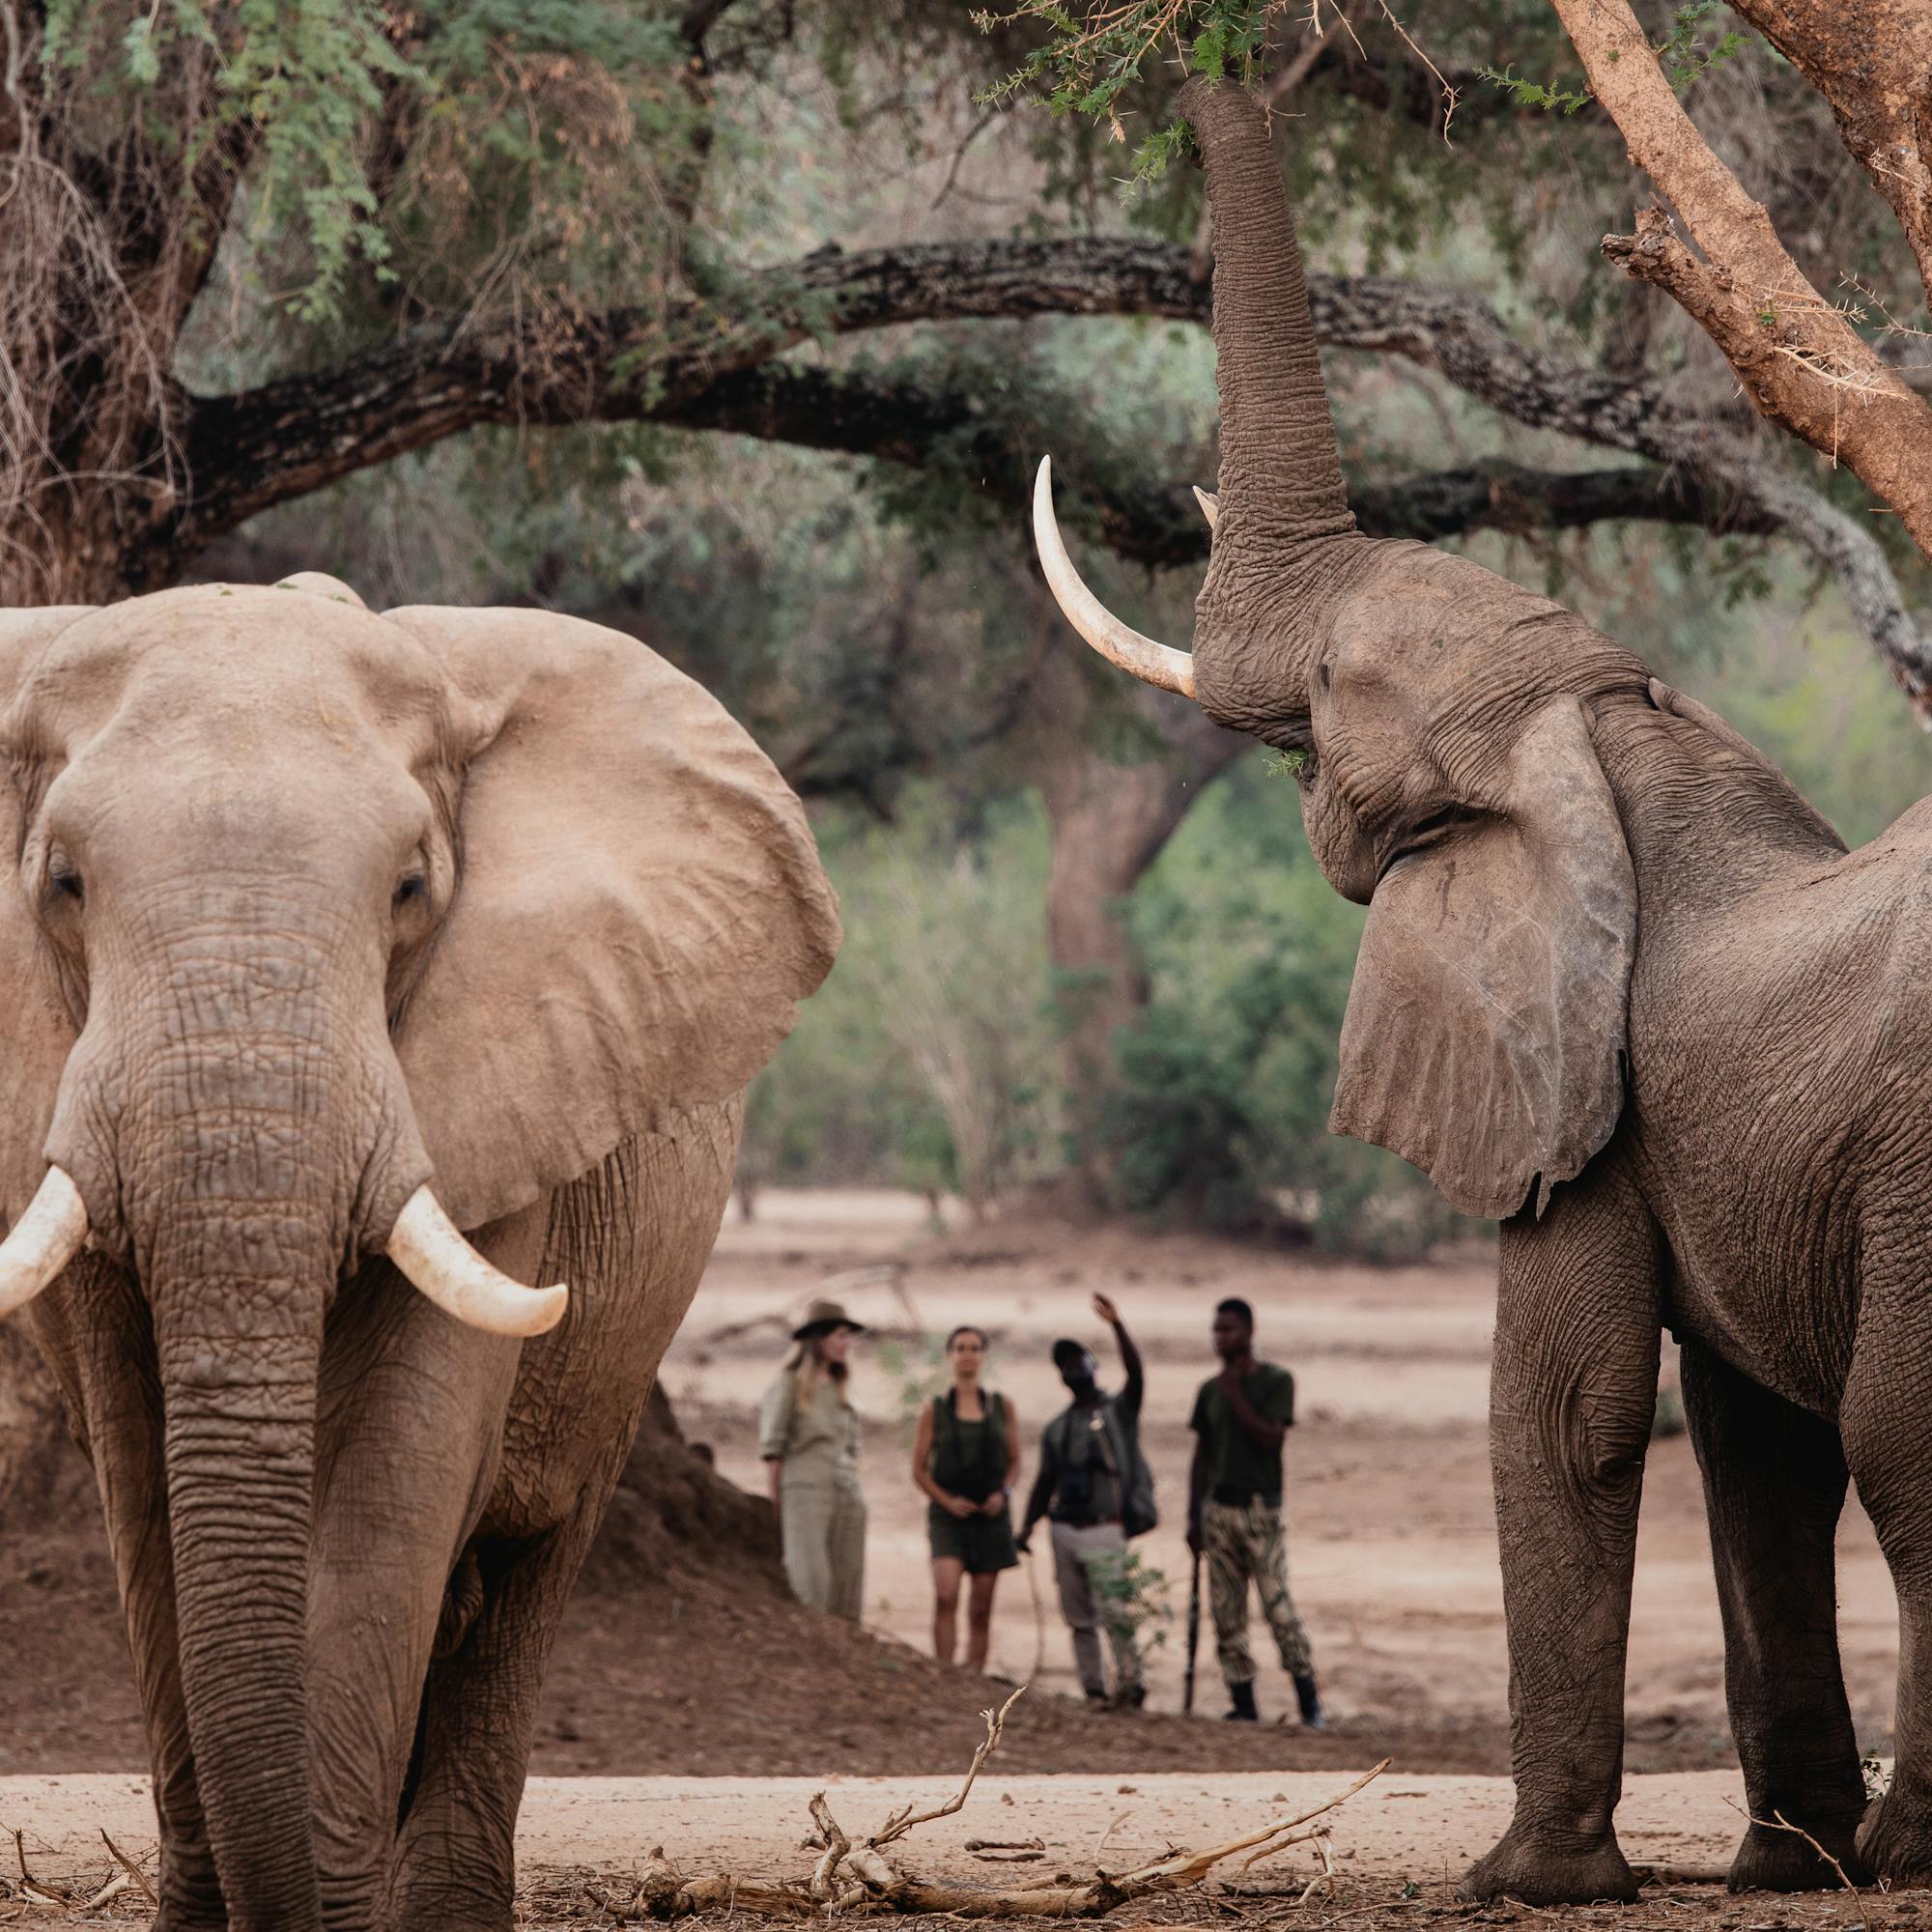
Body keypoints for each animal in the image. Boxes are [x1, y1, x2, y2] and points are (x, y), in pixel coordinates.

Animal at [1035, 77, 1932, 1905]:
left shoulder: (1584, 1100)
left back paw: (1908, 1841)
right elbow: (1754, 1451)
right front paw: (1778, 1869)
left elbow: (1571, 1412)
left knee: (1905, 1445)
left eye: (1328, 693)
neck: (1610, 728)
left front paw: (1527, 1883)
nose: (1243, 64)